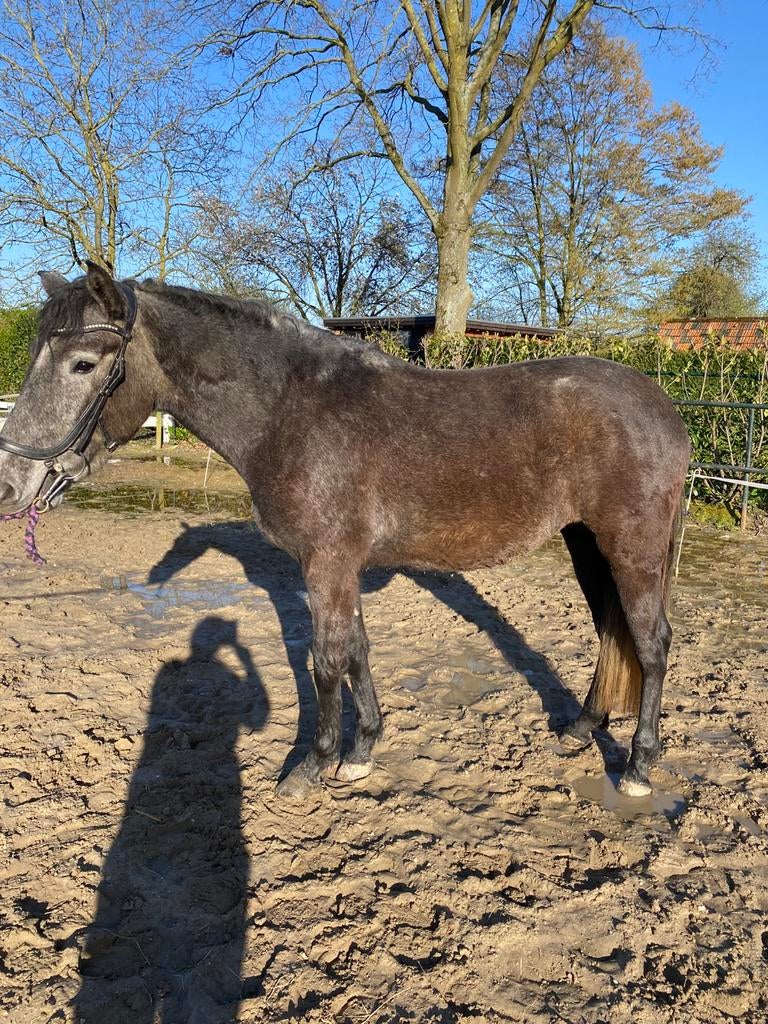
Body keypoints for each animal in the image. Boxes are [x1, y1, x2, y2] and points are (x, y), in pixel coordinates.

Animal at [0, 262, 691, 798]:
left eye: (83, 363)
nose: (10, 485)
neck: (291, 411)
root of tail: (663, 408)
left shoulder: (326, 562)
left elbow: (325, 660)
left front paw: (313, 764)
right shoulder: (339, 567)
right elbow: (356, 650)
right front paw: (361, 753)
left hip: (632, 546)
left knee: (651, 642)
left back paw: (637, 766)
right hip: (587, 542)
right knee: (611, 631)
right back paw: (582, 727)